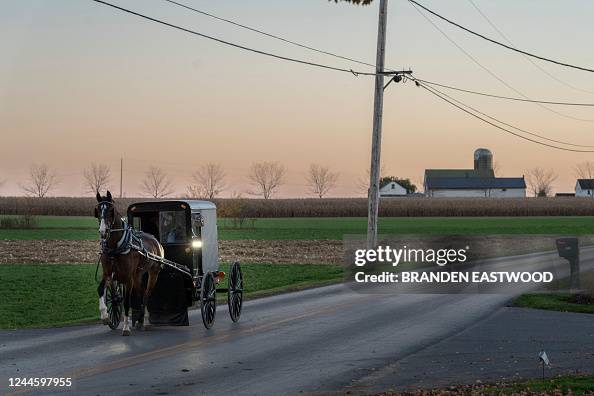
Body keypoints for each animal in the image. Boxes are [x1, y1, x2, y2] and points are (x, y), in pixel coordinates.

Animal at [95, 190, 164, 336]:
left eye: (110, 210)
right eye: (98, 210)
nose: (103, 232)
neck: (115, 247)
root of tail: (155, 240)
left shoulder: (127, 279)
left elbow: (127, 302)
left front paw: (126, 327)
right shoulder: (108, 274)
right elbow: (100, 289)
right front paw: (105, 316)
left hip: (153, 273)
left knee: (147, 294)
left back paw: (145, 321)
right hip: (137, 275)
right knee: (141, 293)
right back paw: (140, 321)